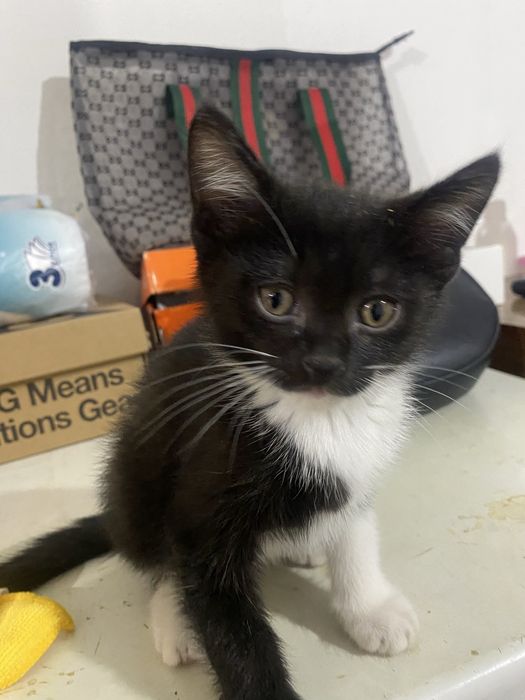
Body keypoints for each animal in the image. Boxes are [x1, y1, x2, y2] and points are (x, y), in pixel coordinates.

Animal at [0, 106, 499, 700]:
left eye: (377, 311)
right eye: (276, 300)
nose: (323, 363)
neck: (318, 419)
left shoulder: (360, 468)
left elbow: (355, 530)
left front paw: (370, 608)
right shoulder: (202, 497)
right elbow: (227, 624)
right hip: (135, 474)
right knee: (157, 556)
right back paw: (174, 620)